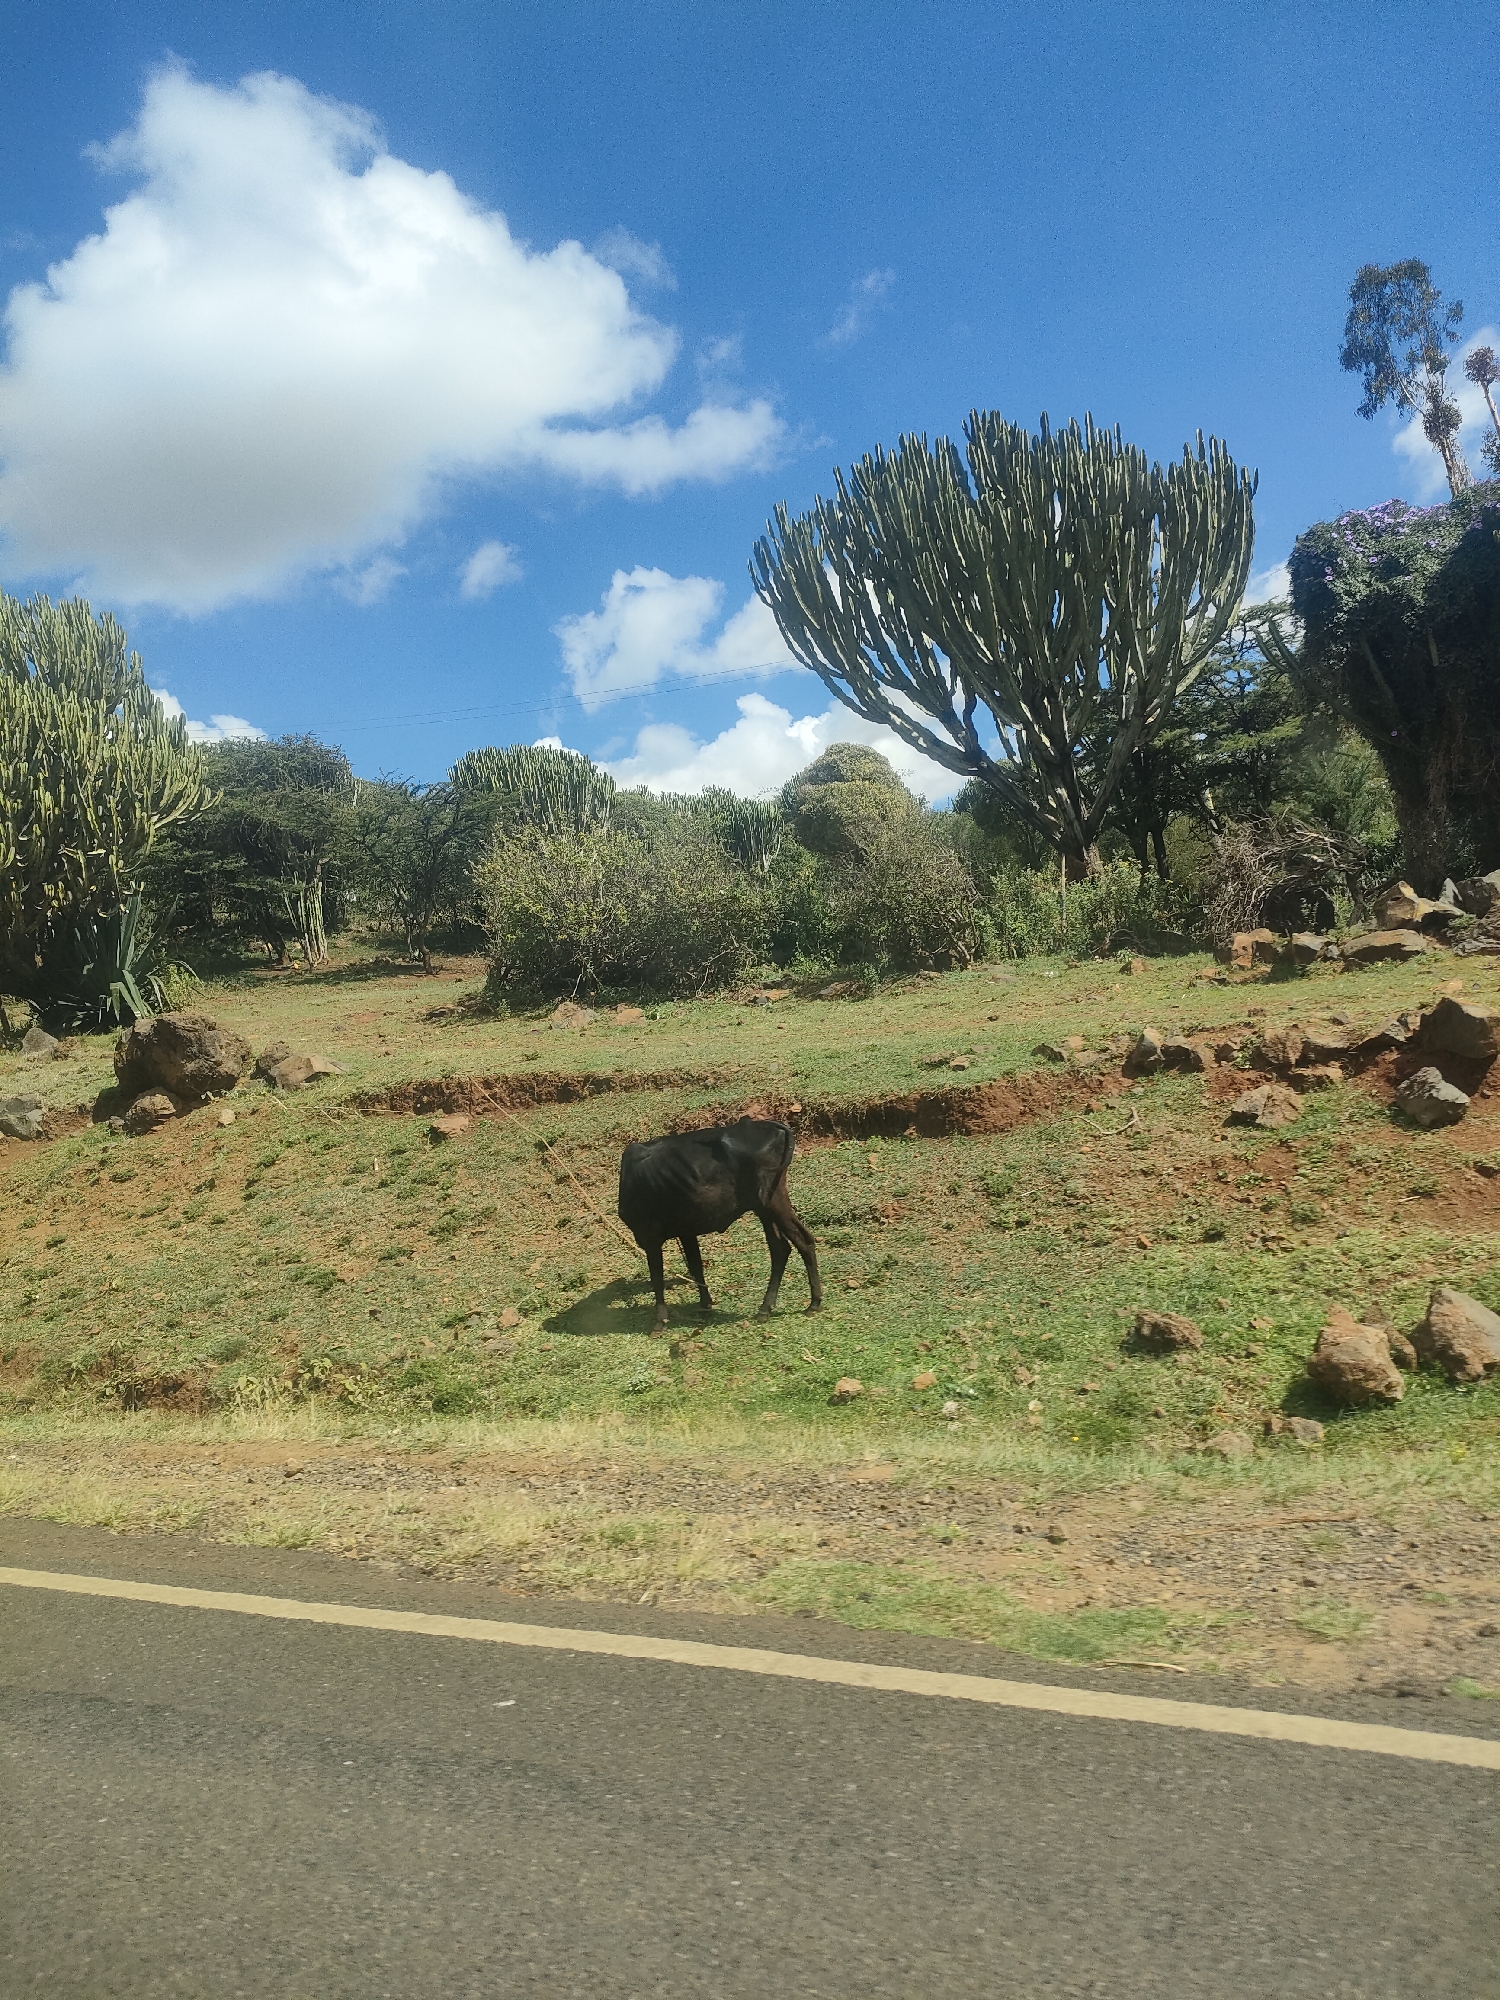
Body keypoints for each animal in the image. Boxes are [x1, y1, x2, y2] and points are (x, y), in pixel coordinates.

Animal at [618, 1117, 823, 1328]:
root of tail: (770, 1125)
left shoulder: (648, 1235)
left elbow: (657, 1277)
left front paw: (659, 1322)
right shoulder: (686, 1231)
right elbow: (695, 1266)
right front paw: (705, 1305)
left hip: (773, 1202)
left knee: (803, 1240)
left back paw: (814, 1303)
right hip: (765, 1208)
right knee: (780, 1248)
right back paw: (766, 1309)